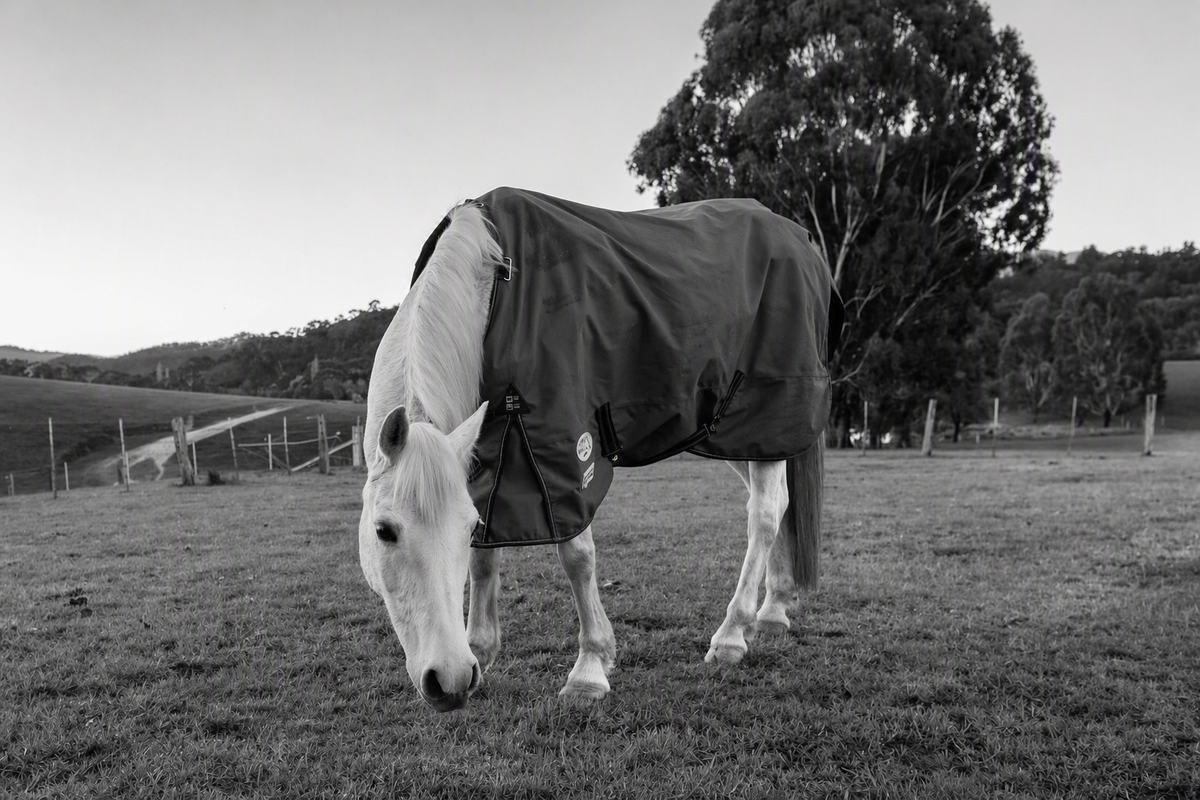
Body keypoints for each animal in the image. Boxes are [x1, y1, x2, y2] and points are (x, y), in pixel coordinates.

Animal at [358, 188, 840, 712]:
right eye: (384, 532)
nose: (448, 680)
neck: (497, 284)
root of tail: (800, 238)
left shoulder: (564, 453)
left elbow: (577, 556)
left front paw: (590, 669)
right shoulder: (492, 457)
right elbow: (487, 557)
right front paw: (481, 650)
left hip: (769, 416)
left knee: (765, 515)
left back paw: (732, 634)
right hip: (740, 434)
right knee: (779, 506)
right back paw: (773, 610)